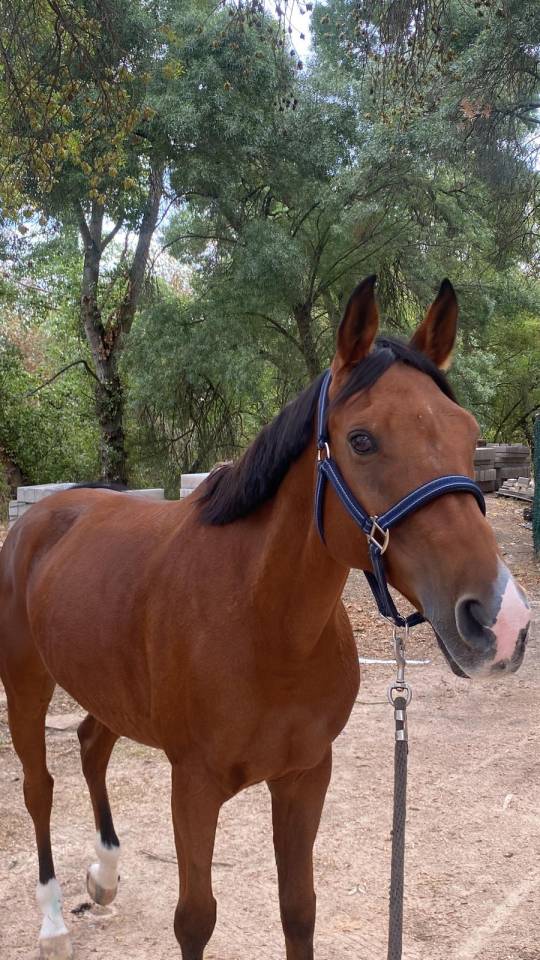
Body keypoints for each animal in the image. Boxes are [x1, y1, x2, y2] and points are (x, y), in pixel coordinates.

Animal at [0, 276, 530, 960]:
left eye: (469, 433)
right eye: (362, 439)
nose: (501, 621)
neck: (262, 624)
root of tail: (41, 516)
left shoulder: (305, 778)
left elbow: (299, 909)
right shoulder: (193, 787)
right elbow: (195, 919)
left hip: (108, 688)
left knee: (92, 748)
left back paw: (105, 876)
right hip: (26, 685)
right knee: (39, 787)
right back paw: (53, 921)